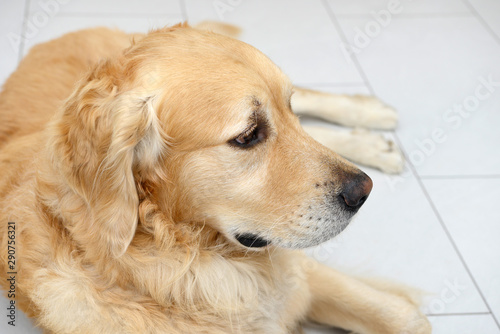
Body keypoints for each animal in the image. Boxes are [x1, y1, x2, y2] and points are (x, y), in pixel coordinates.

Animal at [0, 22, 430, 332]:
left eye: (286, 109)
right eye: (248, 135)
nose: (363, 191)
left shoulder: (297, 272)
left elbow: (404, 316)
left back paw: (369, 117)